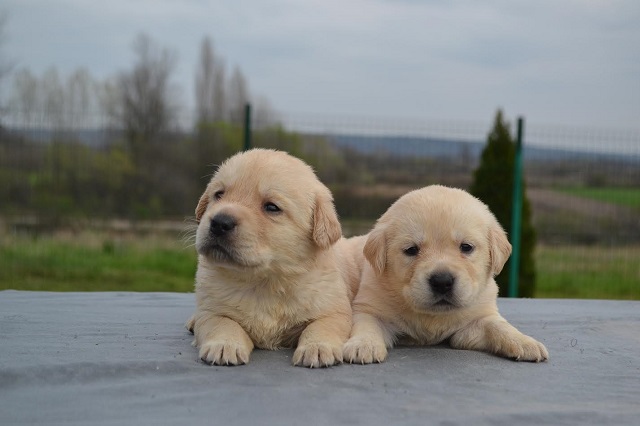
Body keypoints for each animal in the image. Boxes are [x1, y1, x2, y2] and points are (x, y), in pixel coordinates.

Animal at [185, 149, 364, 366]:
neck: (265, 281)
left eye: (271, 207)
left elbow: (322, 325)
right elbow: (222, 323)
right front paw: (224, 345)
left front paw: (318, 348)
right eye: (219, 194)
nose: (219, 222)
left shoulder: (334, 309)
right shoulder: (211, 309)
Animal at [344, 185, 552, 364]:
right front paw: (363, 345)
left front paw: (524, 341)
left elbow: (498, 326)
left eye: (466, 247)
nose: (442, 282)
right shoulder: (369, 306)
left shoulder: (477, 320)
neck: (432, 316)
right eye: (411, 250)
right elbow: (367, 324)